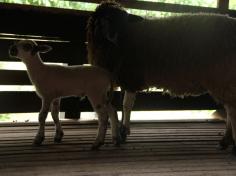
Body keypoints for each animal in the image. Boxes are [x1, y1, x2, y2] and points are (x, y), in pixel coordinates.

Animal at [86, 1, 236, 153]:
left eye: (122, 18)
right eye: (105, 19)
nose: (114, 36)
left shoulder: (131, 77)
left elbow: (126, 105)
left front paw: (123, 132)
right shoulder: (128, 79)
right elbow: (125, 105)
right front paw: (124, 132)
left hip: (222, 76)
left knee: (231, 109)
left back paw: (228, 141)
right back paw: (226, 141)